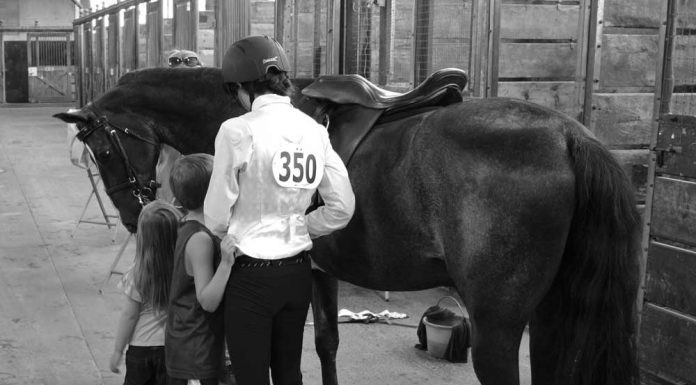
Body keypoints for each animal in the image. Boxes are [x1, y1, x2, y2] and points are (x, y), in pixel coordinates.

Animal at [54, 67, 640, 384]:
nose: (133, 215)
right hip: (551, 313)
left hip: (497, 325)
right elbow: (327, 345)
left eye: (102, 147)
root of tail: (568, 135)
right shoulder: (318, 271)